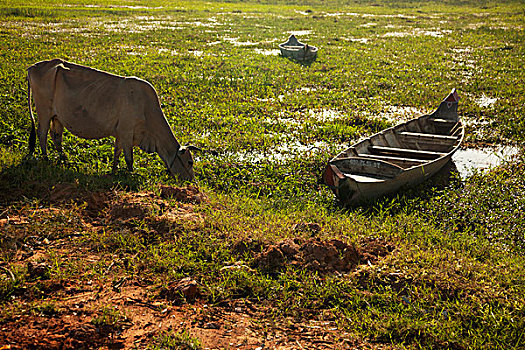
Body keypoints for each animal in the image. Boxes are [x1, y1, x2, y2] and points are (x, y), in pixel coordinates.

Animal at [26, 58, 195, 180]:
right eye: (190, 162)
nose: (191, 182)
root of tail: (32, 67)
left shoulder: (120, 134)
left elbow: (116, 154)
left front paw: (113, 172)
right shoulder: (126, 133)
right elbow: (129, 159)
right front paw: (130, 174)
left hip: (57, 117)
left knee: (56, 137)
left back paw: (64, 160)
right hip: (44, 112)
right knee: (42, 134)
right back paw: (46, 159)